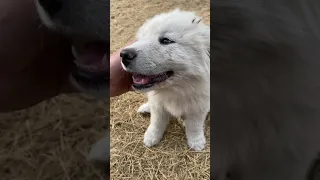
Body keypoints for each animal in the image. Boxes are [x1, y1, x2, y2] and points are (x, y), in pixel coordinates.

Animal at [120, 9, 210, 151]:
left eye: (166, 40)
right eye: (141, 38)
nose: (124, 55)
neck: (175, 91)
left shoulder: (200, 105)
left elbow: (194, 125)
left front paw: (196, 142)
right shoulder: (158, 104)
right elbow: (156, 122)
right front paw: (151, 137)